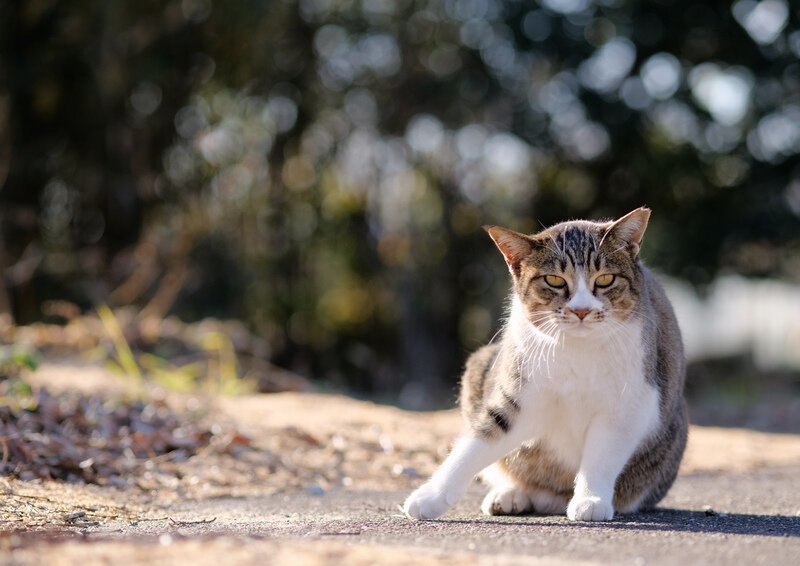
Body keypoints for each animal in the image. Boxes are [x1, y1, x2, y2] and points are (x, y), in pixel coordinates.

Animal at [404, 209, 692, 524]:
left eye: (605, 279)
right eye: (554, 280)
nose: (581, 310)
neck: (578, 350)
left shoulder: (629, 403)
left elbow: (602, 454)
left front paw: (590, 500)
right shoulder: (519, 394)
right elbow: (477, 443)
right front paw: (429, 497)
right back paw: (510, 495)